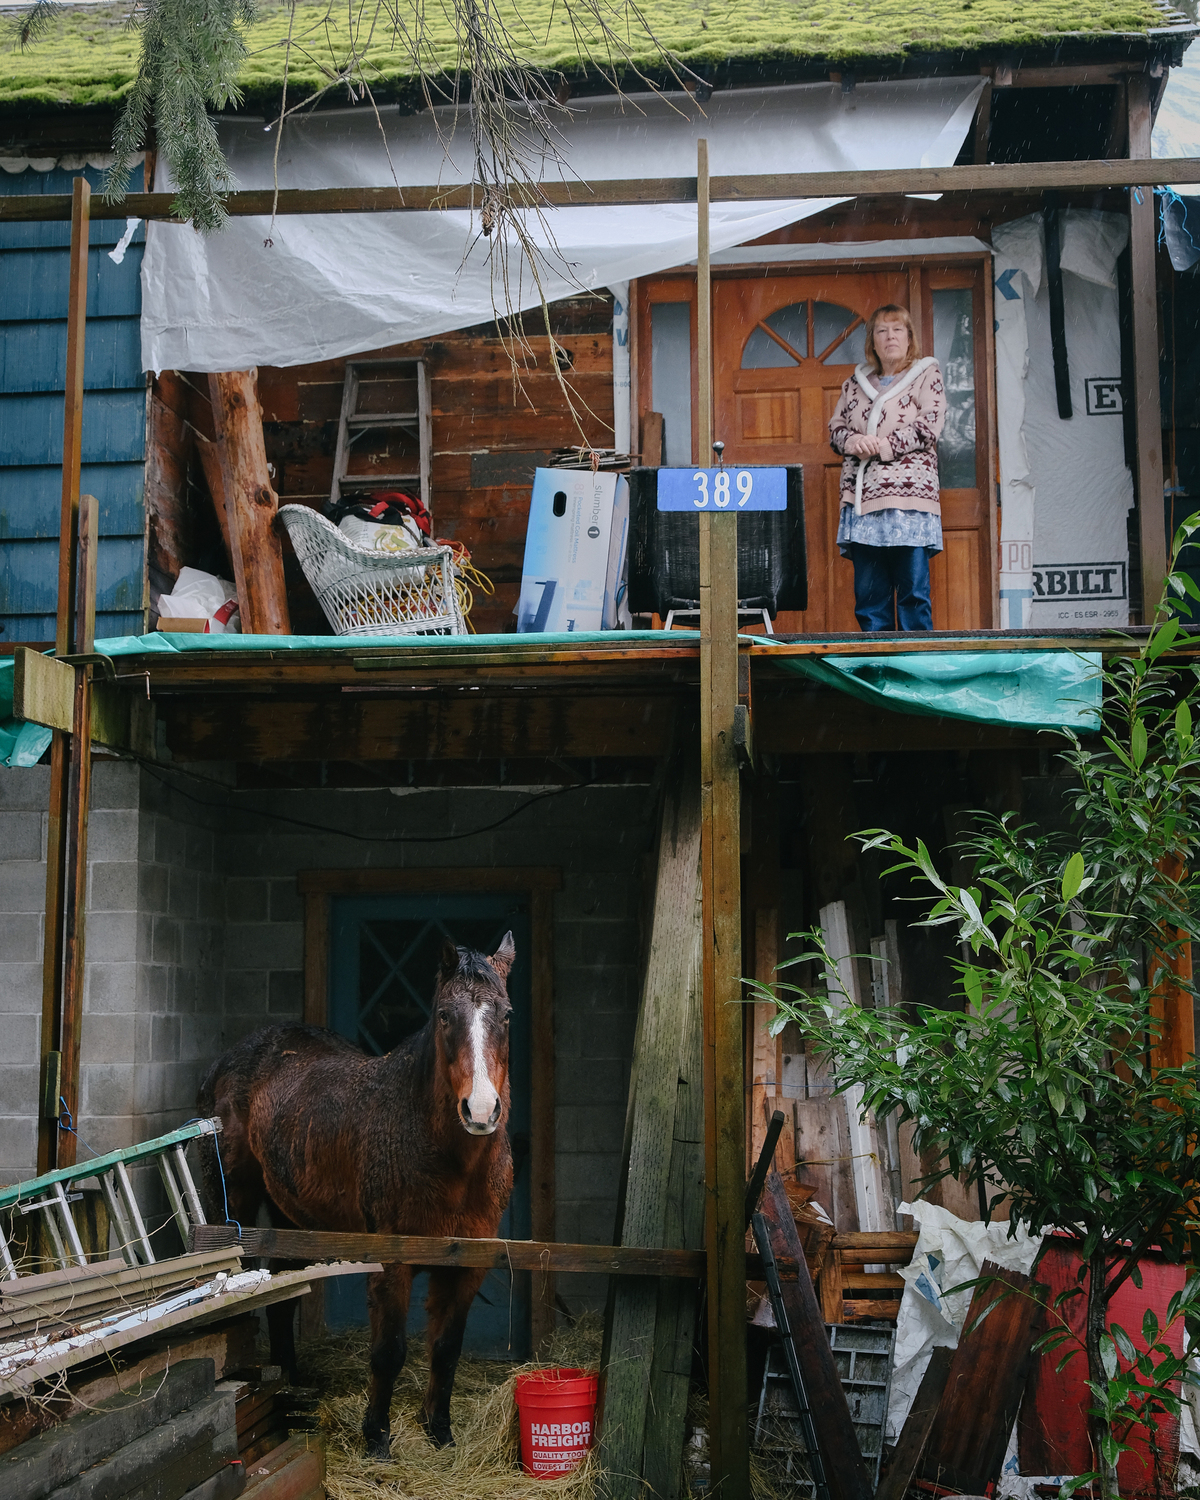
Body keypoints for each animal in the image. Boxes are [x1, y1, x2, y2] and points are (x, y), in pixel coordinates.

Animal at [196, 930, 516, 1458]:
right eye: (444, 1015)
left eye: (506, 1015)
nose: (481, 1108)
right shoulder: (392, 1264)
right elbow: (388, 1352)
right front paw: (377, 1438)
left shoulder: (468, 1265)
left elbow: (446, 1350)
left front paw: (440, 1432)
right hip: (234, 1201)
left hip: (291, 1217)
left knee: (283, 1290)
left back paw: (291, 1381)